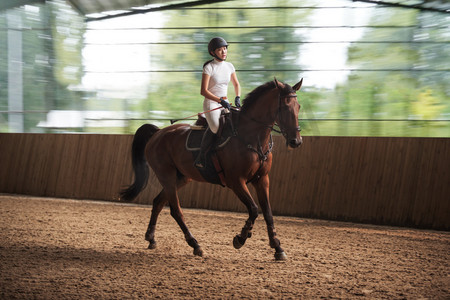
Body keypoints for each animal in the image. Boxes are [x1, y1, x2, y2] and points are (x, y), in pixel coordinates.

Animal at [119, 78, 302, 260]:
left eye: (298, 106)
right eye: (285, 107)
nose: (296, 141)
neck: (251, 137)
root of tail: (158, 133)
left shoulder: (262, 179)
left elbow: (268, 213)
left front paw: (278, 248)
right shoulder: (236, 181)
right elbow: (254, 209)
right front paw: (240, 238)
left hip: (181, 177)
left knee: (158, 202)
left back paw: (151, 238)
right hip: (167, 176)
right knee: (176, 210)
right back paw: (195, 244)